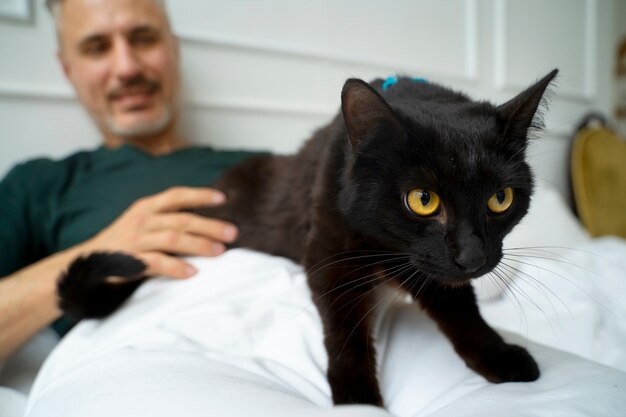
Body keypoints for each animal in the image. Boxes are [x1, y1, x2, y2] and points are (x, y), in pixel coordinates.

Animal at [58, 69, 556, 406]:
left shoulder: (431, 268)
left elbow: (463, 312)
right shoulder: (330, 256)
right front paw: (358, 401)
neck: (387, 249)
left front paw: (499, 356)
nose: (473, 258)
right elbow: (345, 331)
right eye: (422, 200)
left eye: (500, 199)